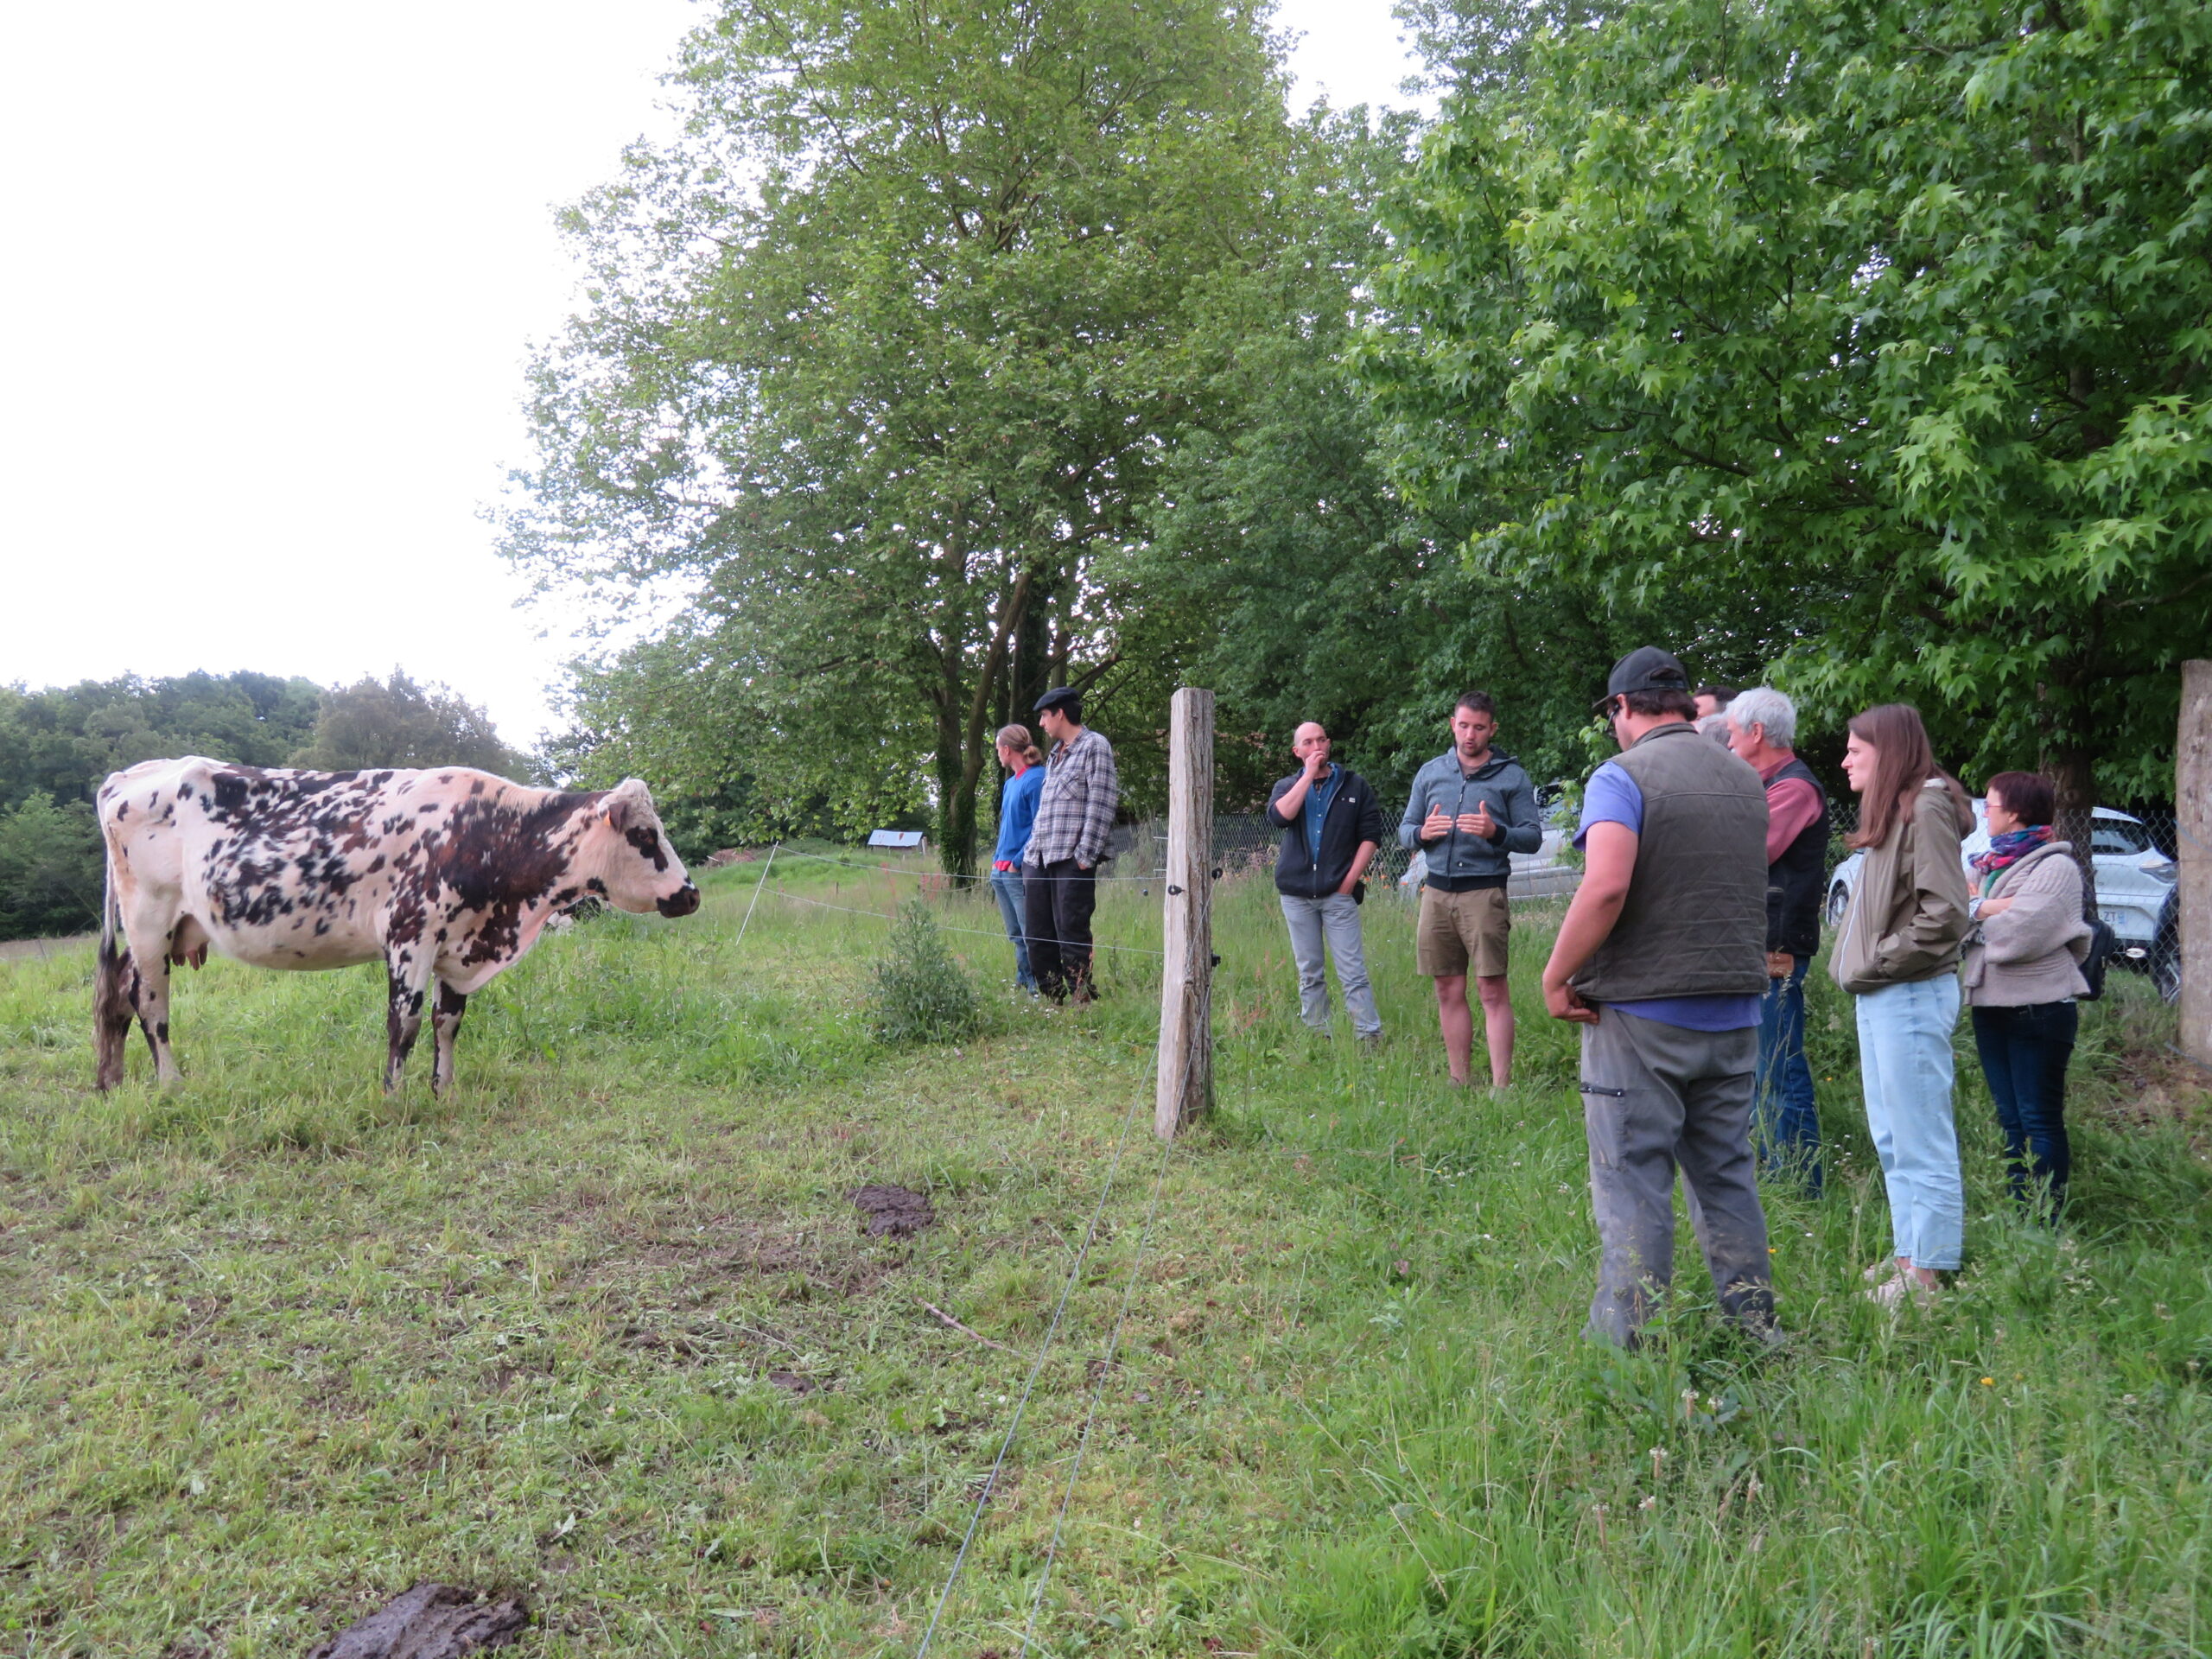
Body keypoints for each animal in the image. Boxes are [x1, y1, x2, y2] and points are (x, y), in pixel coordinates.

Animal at [93, 758, 701, 1094]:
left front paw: (444, 1089)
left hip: (162, 930)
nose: (690, 894)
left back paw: (111, 1082)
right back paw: (170, 1085)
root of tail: (128, 775)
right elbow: (402, 1024)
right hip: (149, 921)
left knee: (116, 997)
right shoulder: (411, 937)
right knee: (150, 1006)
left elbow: (448, 1022)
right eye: (645, 835)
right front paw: (393, 1096)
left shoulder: (458, 944)